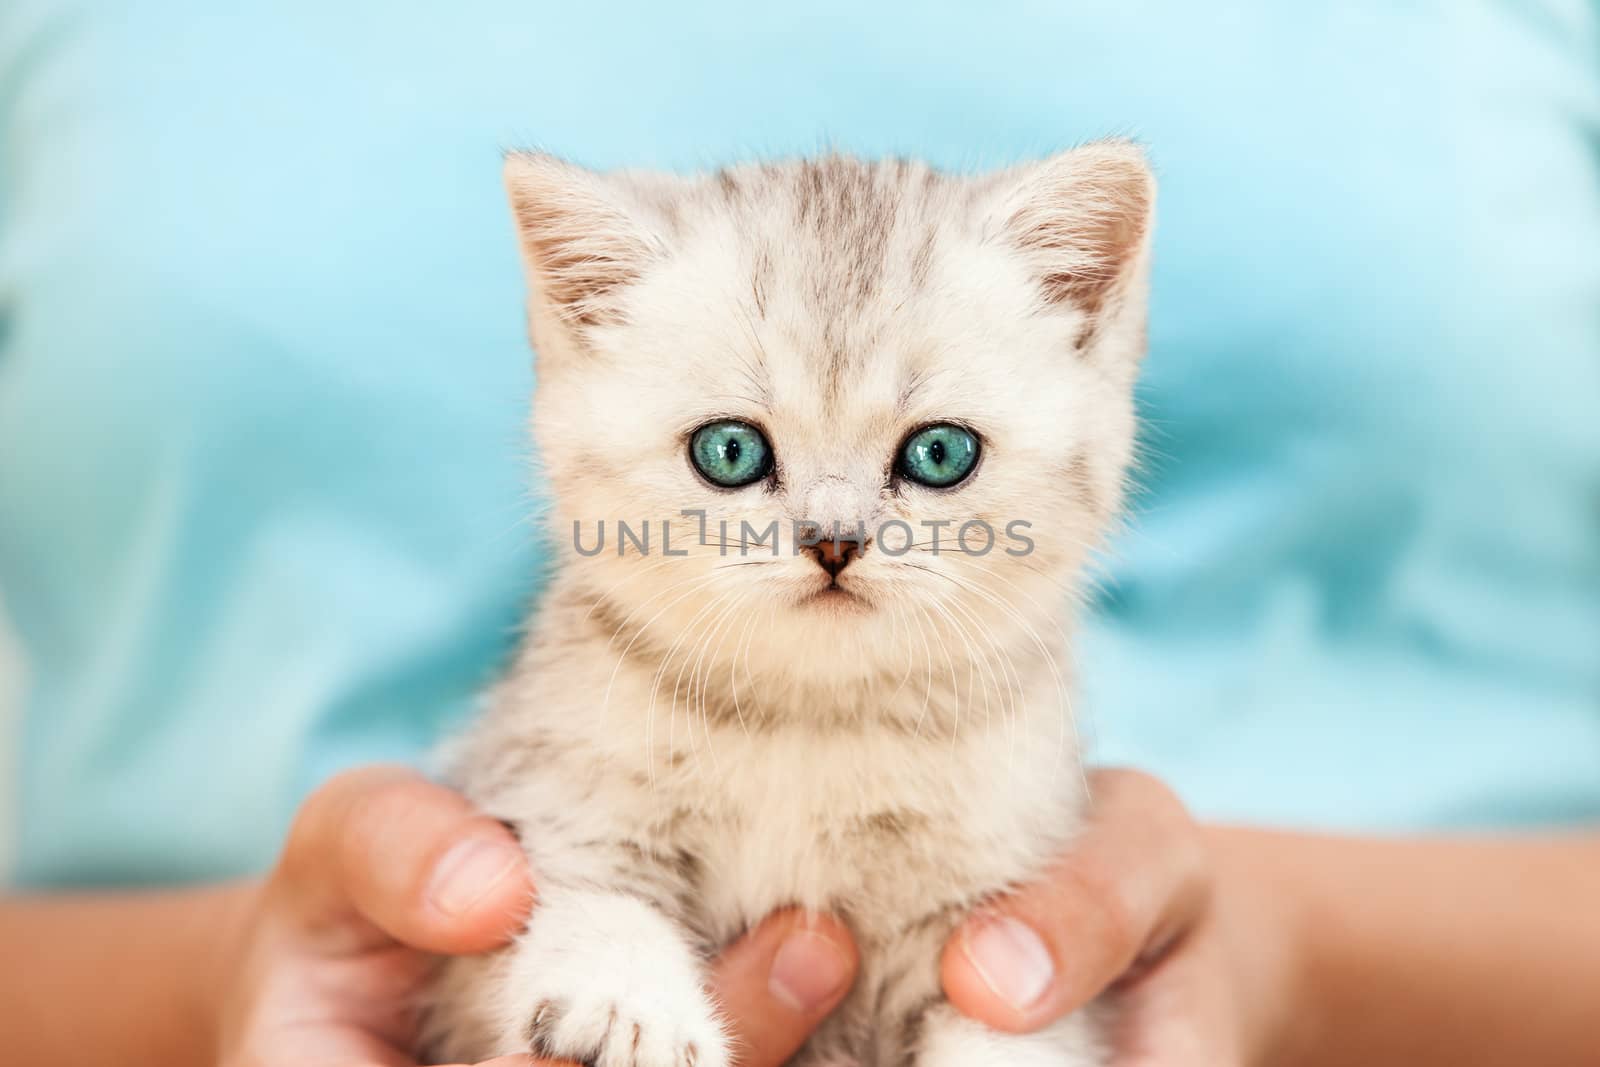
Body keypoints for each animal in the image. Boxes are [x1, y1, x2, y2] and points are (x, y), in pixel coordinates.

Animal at [422, 143, 1152, 1067]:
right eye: (730, 451)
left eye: (940, 452)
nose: (832, 540)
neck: (808, 723)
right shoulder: (548, 786)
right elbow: (591, 891)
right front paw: (627, 1000)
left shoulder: (990, 907)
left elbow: (1010, 1035)